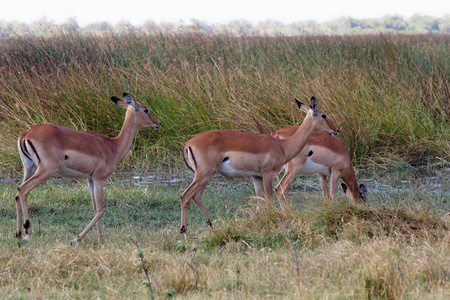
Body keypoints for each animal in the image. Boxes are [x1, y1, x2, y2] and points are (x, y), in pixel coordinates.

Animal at [14, 93, 161, 244]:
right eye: (146, 110)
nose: (158, 123)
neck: (113, 146)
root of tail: (26, 134)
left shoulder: (90, 180)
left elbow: (95, 208)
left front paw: (100, 239)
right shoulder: (99, 179)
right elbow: (100, 210)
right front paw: (76, 239)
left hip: (30, 168)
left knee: (18, 192)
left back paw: (18, 233)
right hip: (45, 170)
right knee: (23, 189)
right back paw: (27, 235)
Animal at [179, 97, 338, 233]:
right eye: (324, 115)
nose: (336, 130)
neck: (283, 146)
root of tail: (188, 144)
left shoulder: (256, 177)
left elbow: (260, 202)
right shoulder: (268, 174)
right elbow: (270, 199)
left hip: (204, 176)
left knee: (196, 196)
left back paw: (211, 225)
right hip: (205, 174)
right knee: (186, 196)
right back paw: (184, 231)